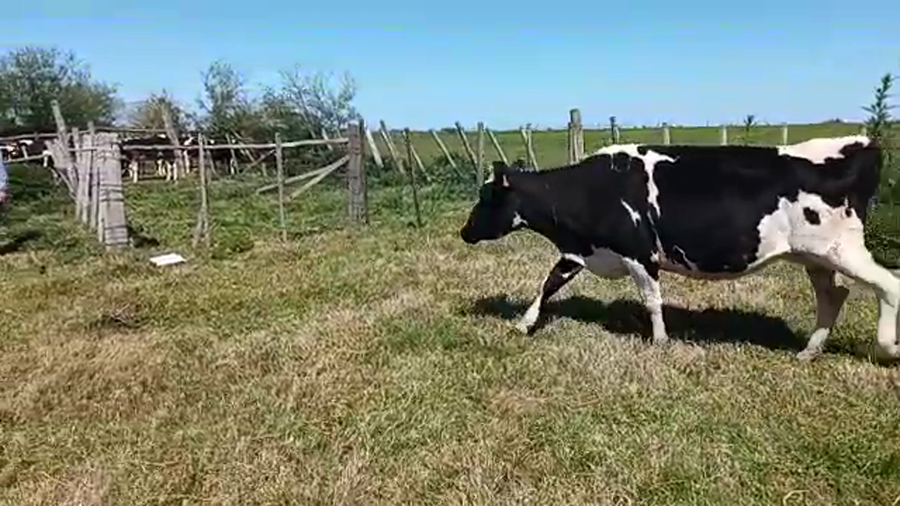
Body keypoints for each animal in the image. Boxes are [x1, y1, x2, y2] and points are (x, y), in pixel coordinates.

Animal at [458, 135, 900, 362]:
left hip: (842, 249)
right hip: (815, 256)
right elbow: (548, 284)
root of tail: (861, 143)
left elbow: (652, 300)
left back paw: (888, 347)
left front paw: (659, 341)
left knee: (887, 285)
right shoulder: (581, 250)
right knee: (833, 295)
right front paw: (523, 323)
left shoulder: (638, 252)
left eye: (487, 198)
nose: (464, 232)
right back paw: (809, 351)